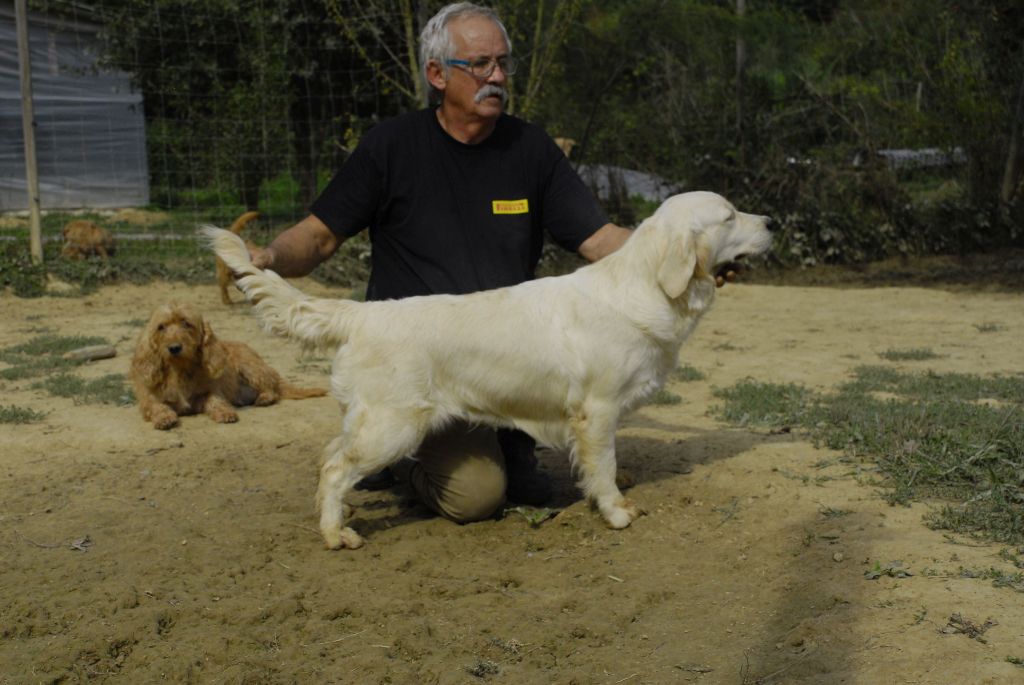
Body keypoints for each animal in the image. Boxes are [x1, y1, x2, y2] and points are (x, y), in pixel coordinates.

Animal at [130, 303, 325, 427]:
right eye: (161, 327)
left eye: (187, 324)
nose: (174, 348)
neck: (180, 369)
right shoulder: (149, 399)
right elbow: (156, 406)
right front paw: (164, 417)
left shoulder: (208, 392)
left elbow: (215, 400)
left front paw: (225, 412)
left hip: (251, 368)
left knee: (272, 389)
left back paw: (264, 398)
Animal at [203, 192, 770, 548]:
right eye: (728, 216)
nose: (774, 224)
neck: (646, 285)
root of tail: (362, 312)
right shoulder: (597, 409)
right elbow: (604, 467)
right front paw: (616, 511)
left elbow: (605, 464)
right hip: (393, 425)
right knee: (337, 468)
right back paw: (334, 533)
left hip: (372, 420)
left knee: (329, 458)